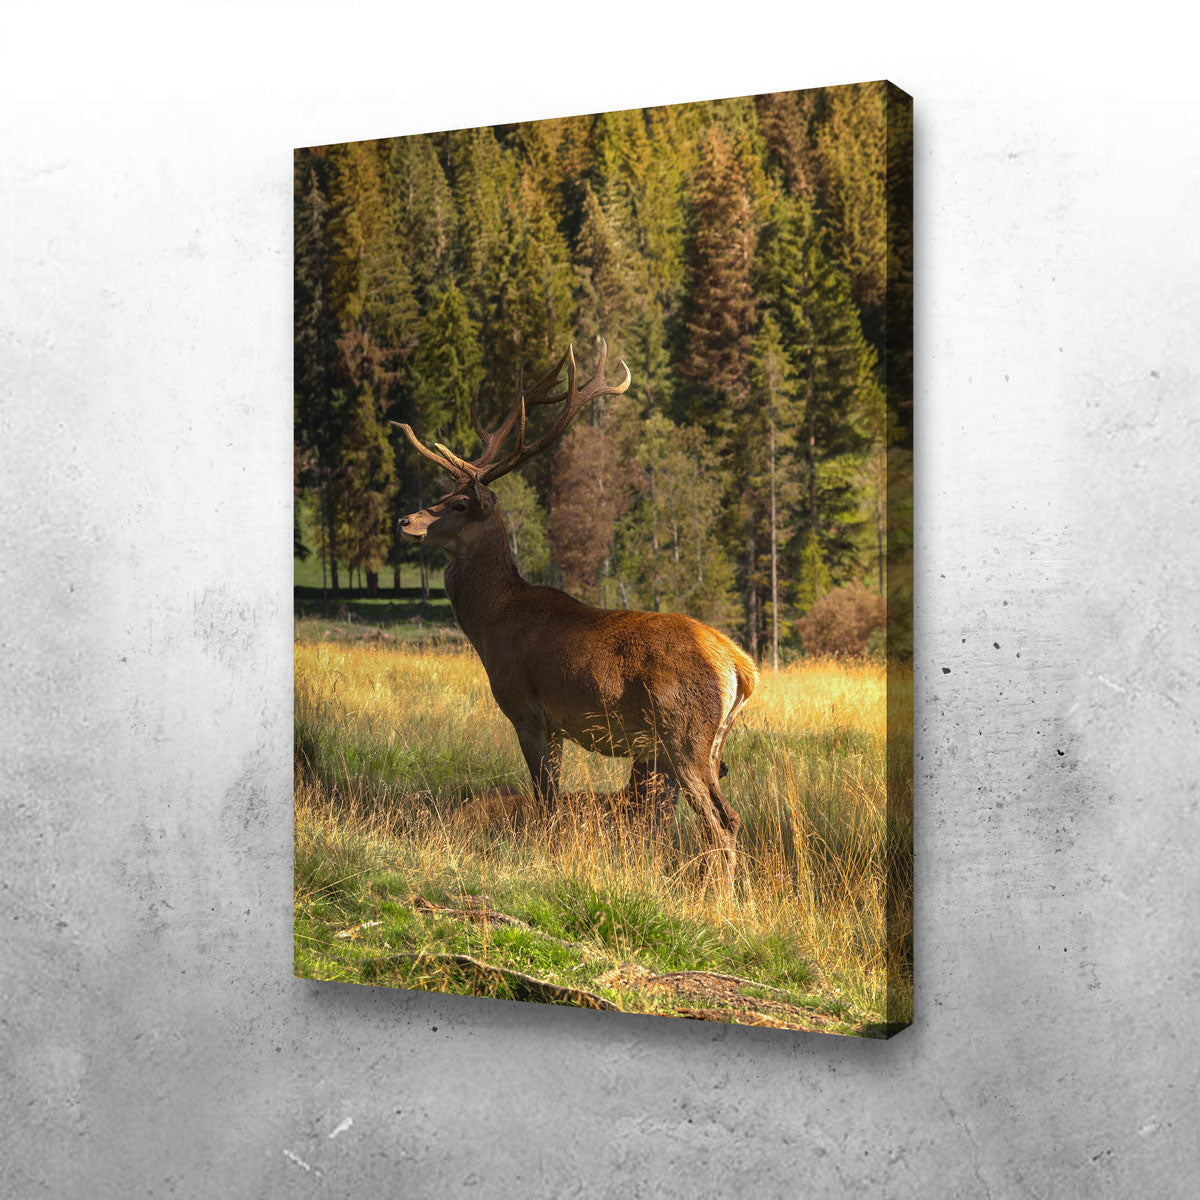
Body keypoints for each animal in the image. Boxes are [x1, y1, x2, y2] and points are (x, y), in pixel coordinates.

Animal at [393, 341, 757, 892]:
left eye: (457, 504)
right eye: (440, 494)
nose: (404, 520)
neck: (492, 624)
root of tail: (739, 666)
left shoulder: (526, 707)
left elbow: (546, 800)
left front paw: (543, 861)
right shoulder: (560, 725)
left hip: (683, 732)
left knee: (720, 820)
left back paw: (721, 901)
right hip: (712, 742)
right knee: (728, 816)